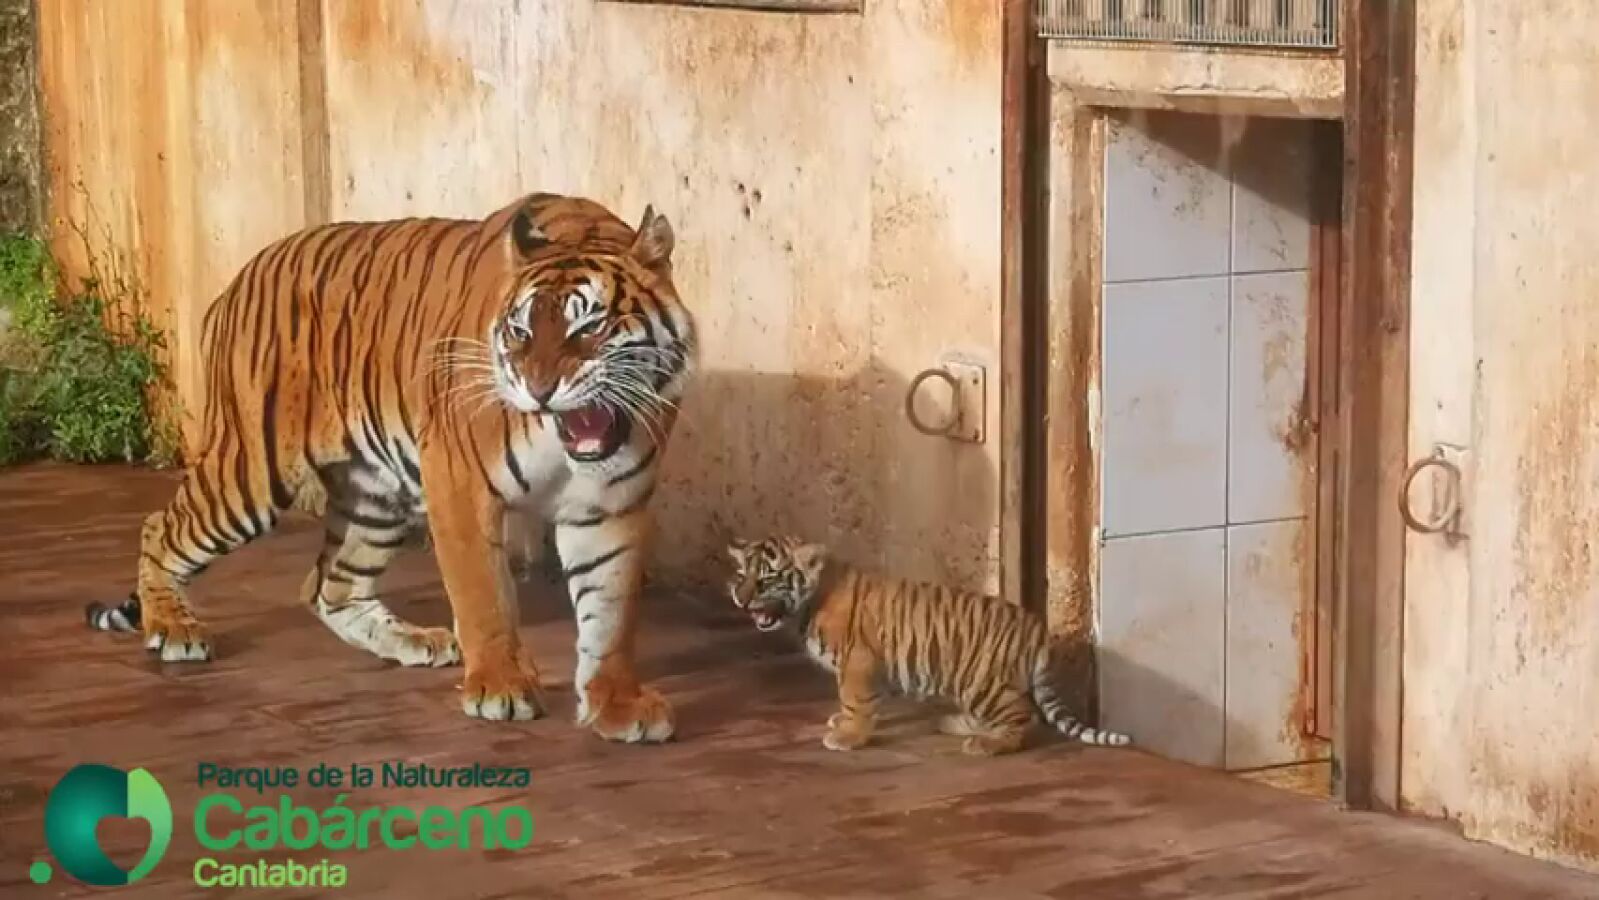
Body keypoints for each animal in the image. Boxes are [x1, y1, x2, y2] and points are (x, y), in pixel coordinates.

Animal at [82, 191, 695, 742]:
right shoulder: (459, 483)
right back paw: (173, 628)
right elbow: (484, 595)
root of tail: (236, 282)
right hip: (249, 474)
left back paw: (415, 641)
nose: (538, 389)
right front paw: (499, 687)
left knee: (327, 586)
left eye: (588, 328)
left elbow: (609, 613)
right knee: (160, 529)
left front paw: (616, 703)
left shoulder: (611, 505)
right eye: (521, 332)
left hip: (374, 494)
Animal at [725, 536, 1132, 756]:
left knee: (1021, 716)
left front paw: (846, 736)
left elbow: (855, 702)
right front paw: (842, 723)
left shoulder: (858, 663)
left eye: (766, 580)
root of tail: (1037, 627)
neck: (808, 601)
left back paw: (986, 745)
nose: (740, 600)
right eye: (742, 574)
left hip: (983, 681)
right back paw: (956, 725)